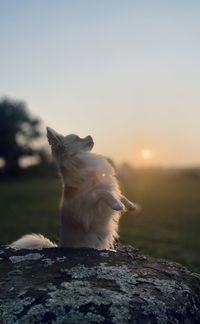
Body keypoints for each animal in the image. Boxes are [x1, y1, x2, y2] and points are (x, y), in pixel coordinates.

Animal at [10, 128, 139, 249]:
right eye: (78, 138)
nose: (90, 135)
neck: (82, 159)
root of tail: (60, 246)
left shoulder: (108, 187)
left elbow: (119, 195)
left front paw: (131, 206)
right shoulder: (89, 202)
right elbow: (103, 192)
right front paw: (117, 205)